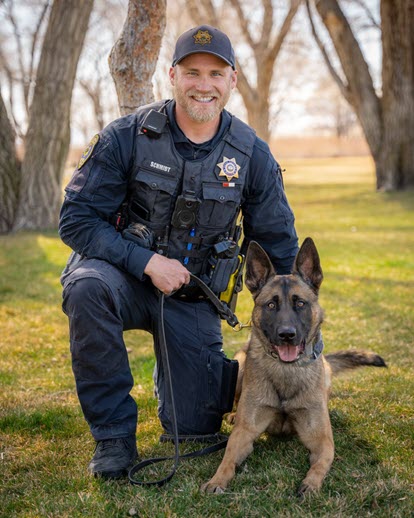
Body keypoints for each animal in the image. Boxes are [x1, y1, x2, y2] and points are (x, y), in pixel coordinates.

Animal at [202, 238, 386, 498]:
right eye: (271, 304)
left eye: (300, 303)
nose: (287, 334)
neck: (286, 371)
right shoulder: (244, 433)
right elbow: (227, 458)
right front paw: (216, 480)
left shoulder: (322, 441)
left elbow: (320, 464)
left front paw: (310, 485)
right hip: (240, 365)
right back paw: (233, 414)